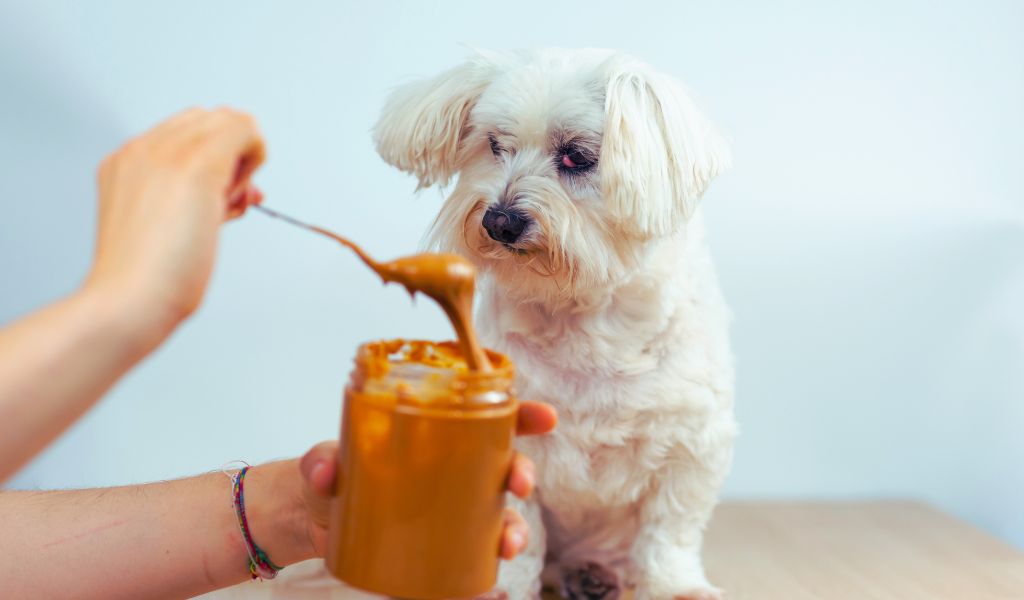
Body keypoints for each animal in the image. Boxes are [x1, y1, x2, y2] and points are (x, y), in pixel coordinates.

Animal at [376, 50, 737, 597]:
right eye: (495, 145)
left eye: (575, 156)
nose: (498, 221)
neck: (581, 316)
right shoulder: (512, 443)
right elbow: (520, 534)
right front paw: (503, 586)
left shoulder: (691, 444)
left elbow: (668, 533)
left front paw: (676, 587)